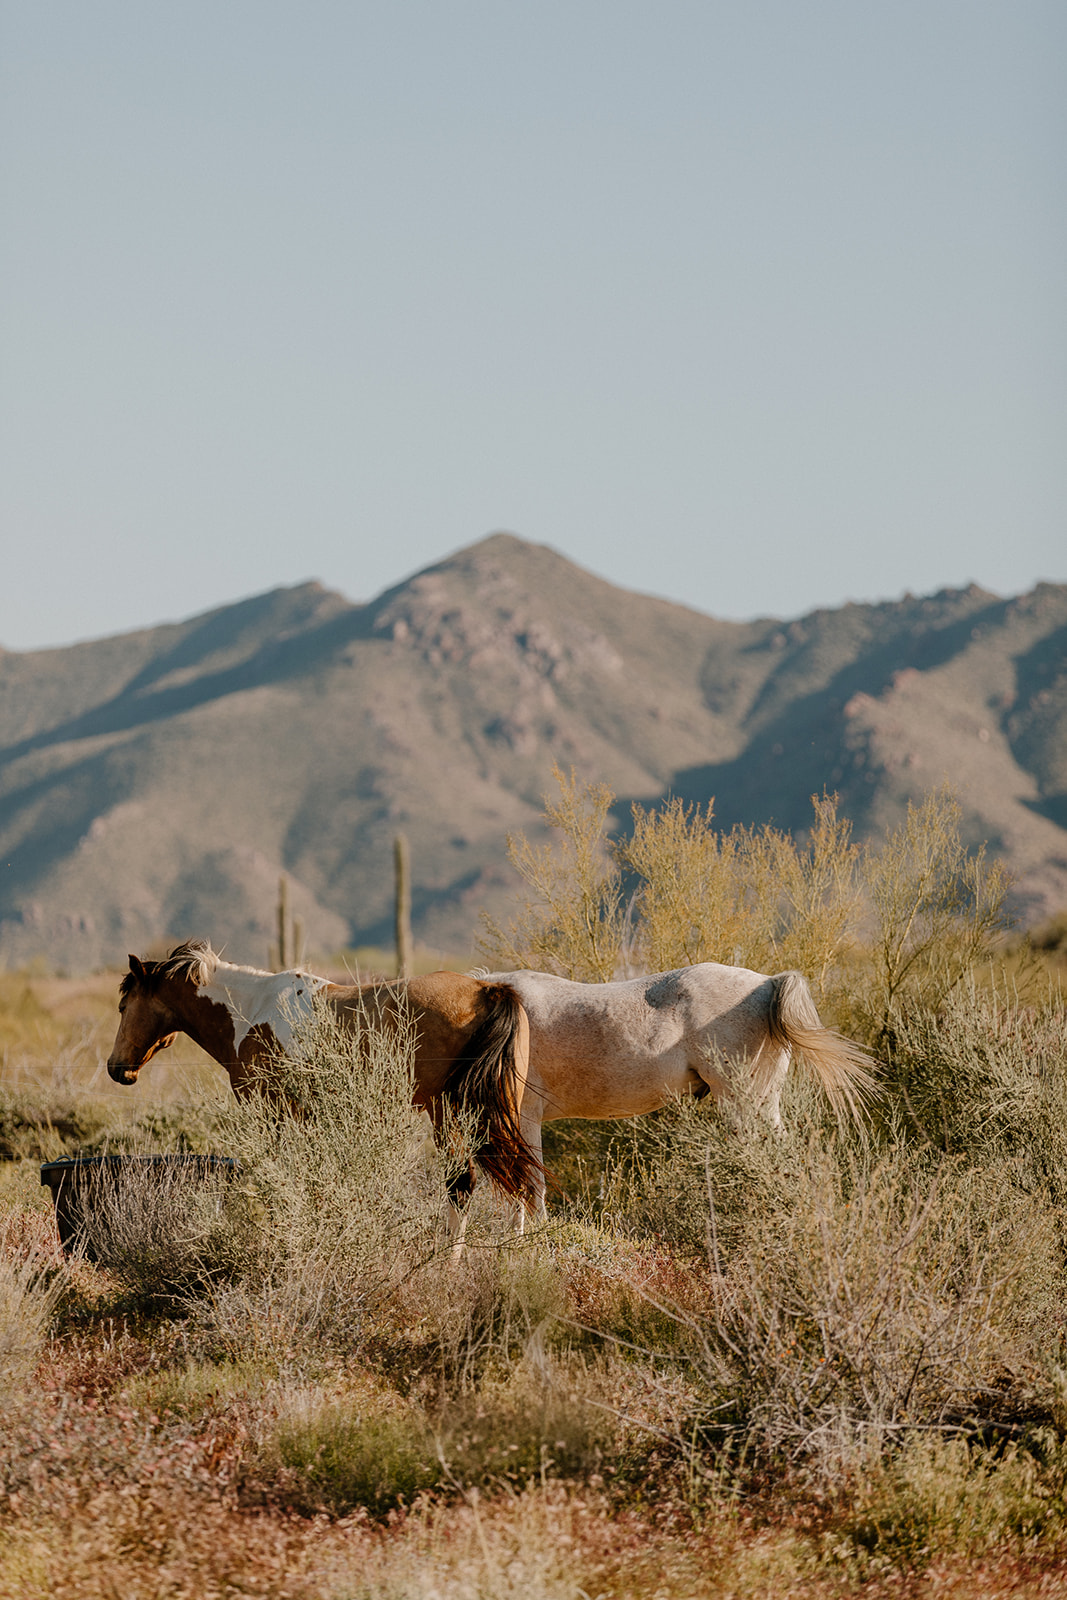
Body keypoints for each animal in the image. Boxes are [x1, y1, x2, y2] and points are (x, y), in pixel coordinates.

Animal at [108, 934, 543, 1222]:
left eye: (124, 1005)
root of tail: (487, 990)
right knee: (517, 1183)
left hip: (448, 1112)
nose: (117, 1068)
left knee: (464, 1183)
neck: (251, 1009)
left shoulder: (270, 1112)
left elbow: (278, 1176)